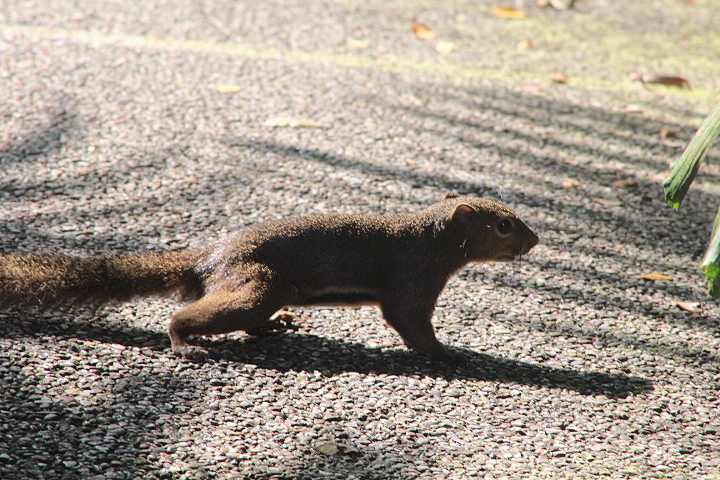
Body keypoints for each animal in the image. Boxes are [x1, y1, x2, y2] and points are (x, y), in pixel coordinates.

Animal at [0, 193, 538, 363]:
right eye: (504, 224)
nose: (535, 240)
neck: (428, 239)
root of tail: (211, 257)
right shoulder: (412, 281)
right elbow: (412, 325)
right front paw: (450, 353)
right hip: (259, 284)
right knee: (184, 316)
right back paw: (186, 345)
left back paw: (274, 327)